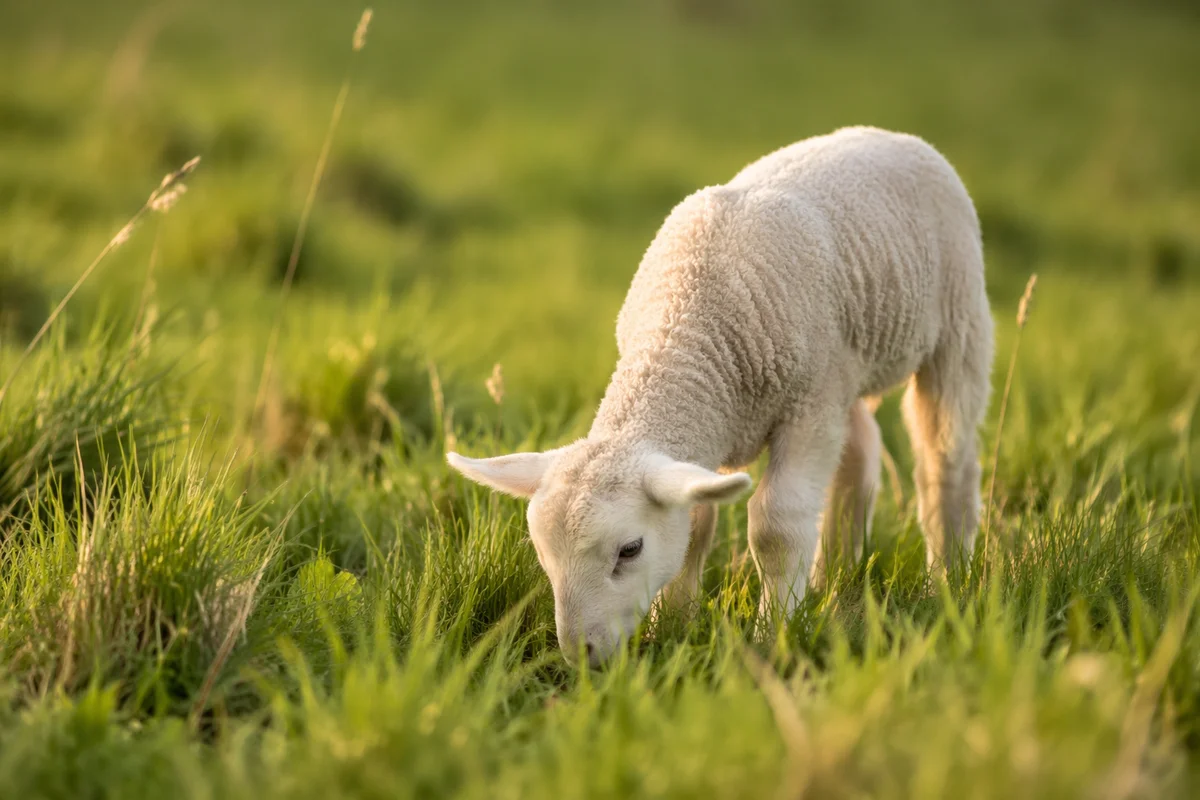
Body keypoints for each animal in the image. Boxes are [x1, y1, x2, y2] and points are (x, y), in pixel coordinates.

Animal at [448, 126, 994, 667]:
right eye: (543, 554)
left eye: (630, 550)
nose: (581, 655)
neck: (684, 328)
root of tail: (886, 133)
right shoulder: (713, 436)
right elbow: (696, 525)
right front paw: (670, 628)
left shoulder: (809, 406)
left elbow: (777, 525)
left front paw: (773, 633)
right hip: (851, 362)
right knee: (859, 452)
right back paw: (834, 582)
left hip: (957, 320)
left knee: (946, 458)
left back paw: (947, 580)